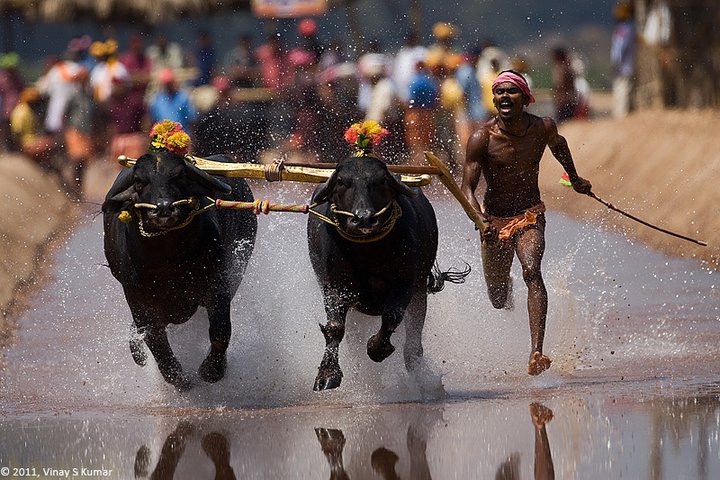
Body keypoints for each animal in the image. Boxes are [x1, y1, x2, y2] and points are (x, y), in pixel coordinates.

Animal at [101, 152, 258, 392]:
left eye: (180, 176)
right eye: (138, 181)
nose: (163, 208)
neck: (169, 259)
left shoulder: (218, 285)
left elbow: (220, 330)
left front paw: (212, 371)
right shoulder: (139, 304)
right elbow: (158, 346)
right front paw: (178, 380)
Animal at [306, 156, 470, 392]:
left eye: (381, 181)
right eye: (342, 182)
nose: (364, 219)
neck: (366, 252)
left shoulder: (406, 284)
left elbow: (392, 317)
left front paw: (377, 348)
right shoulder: (334, 287)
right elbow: (335, 328)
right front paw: (327, 374)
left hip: (419, 292)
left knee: (413, 343)